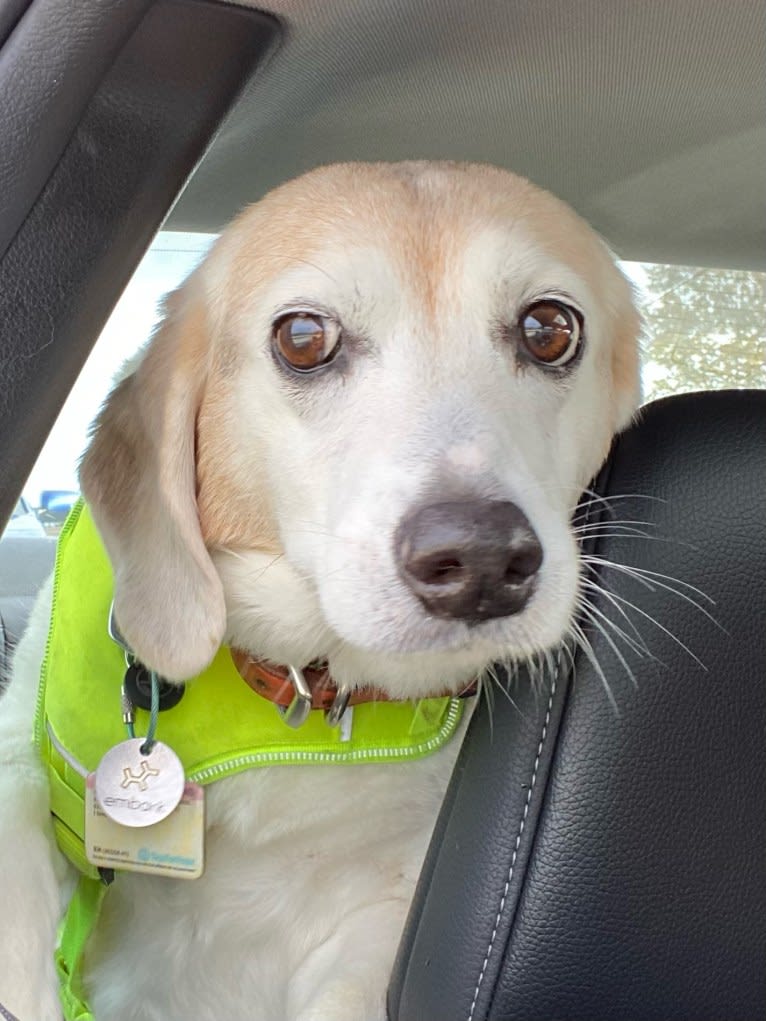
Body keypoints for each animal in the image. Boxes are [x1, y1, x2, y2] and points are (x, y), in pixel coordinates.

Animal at [0, 163, 637, 1016]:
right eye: (303, 338)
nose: (480, 558)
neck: (296, 689)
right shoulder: (25, 755)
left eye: (549, 329)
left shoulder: (383, 918)